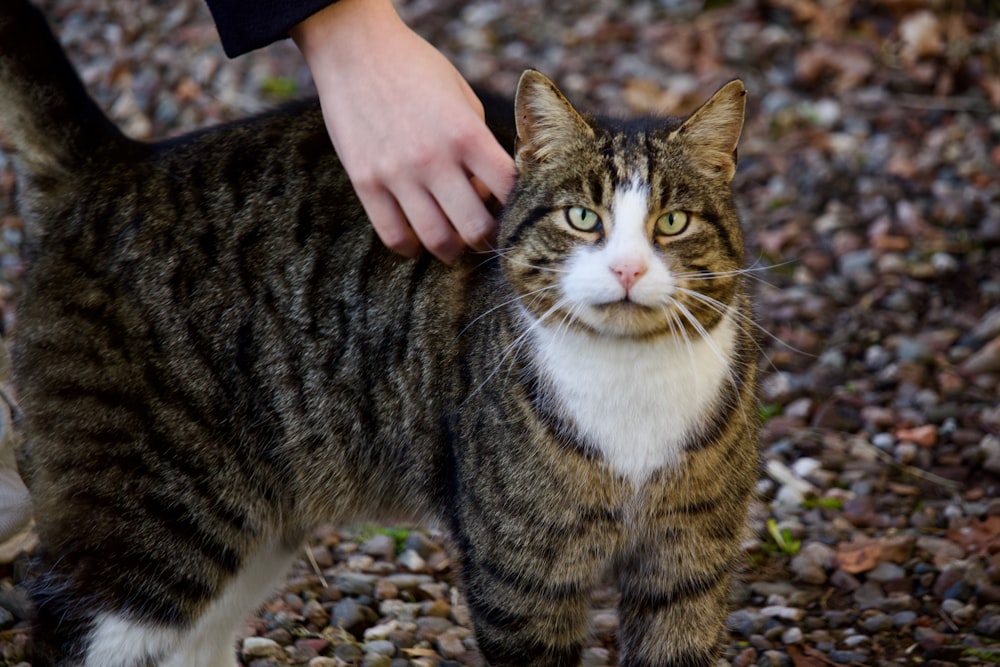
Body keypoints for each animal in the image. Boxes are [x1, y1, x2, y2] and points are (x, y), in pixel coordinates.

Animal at [1, 1, 756, 667]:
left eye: (672, 224)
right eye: (582, 218)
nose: (628, 268)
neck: (632, 386)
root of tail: (117, 165)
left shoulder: (689, 567)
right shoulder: (521, 579)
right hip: (151, 520)